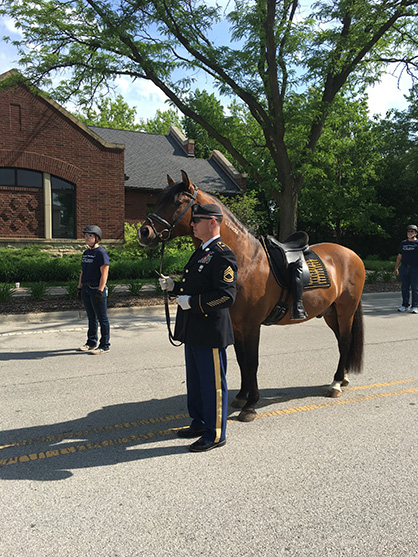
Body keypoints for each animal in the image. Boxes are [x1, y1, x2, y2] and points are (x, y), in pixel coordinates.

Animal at [138, 169, 366, 422]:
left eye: (178, 202)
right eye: (159, 199)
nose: (144, 232)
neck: (244, 261)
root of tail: (351, 254)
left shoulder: (251, 325)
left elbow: (253, 362)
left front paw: (251, 405)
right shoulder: (236, 325)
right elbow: (241, 360)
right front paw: (241, 396)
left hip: (346, 310)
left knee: (345, 341)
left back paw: (335, 383)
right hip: (330, 313)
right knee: (342, 342)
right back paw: (343, 378)